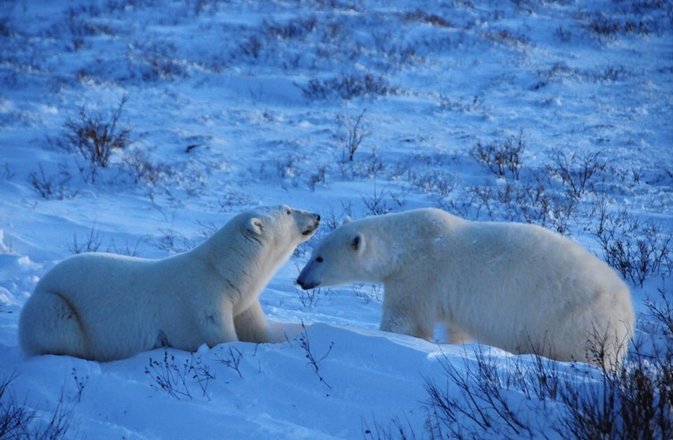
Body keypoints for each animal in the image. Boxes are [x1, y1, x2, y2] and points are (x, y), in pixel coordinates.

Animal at [18, 205, 318, 360]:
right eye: (288, 211)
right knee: (60, 329)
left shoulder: (242, 303)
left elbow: (260, 331)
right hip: (54, 304)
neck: (224, 271)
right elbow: (218, 339)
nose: (316, 216)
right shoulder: (203, 303)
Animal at [296, 208, 632, 370]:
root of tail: (626, 314)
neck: (407, 244)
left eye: (319, 257)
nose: (300, 280)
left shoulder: (419, 276)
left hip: (571, 322)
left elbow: (405, 321)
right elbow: (456, 329)